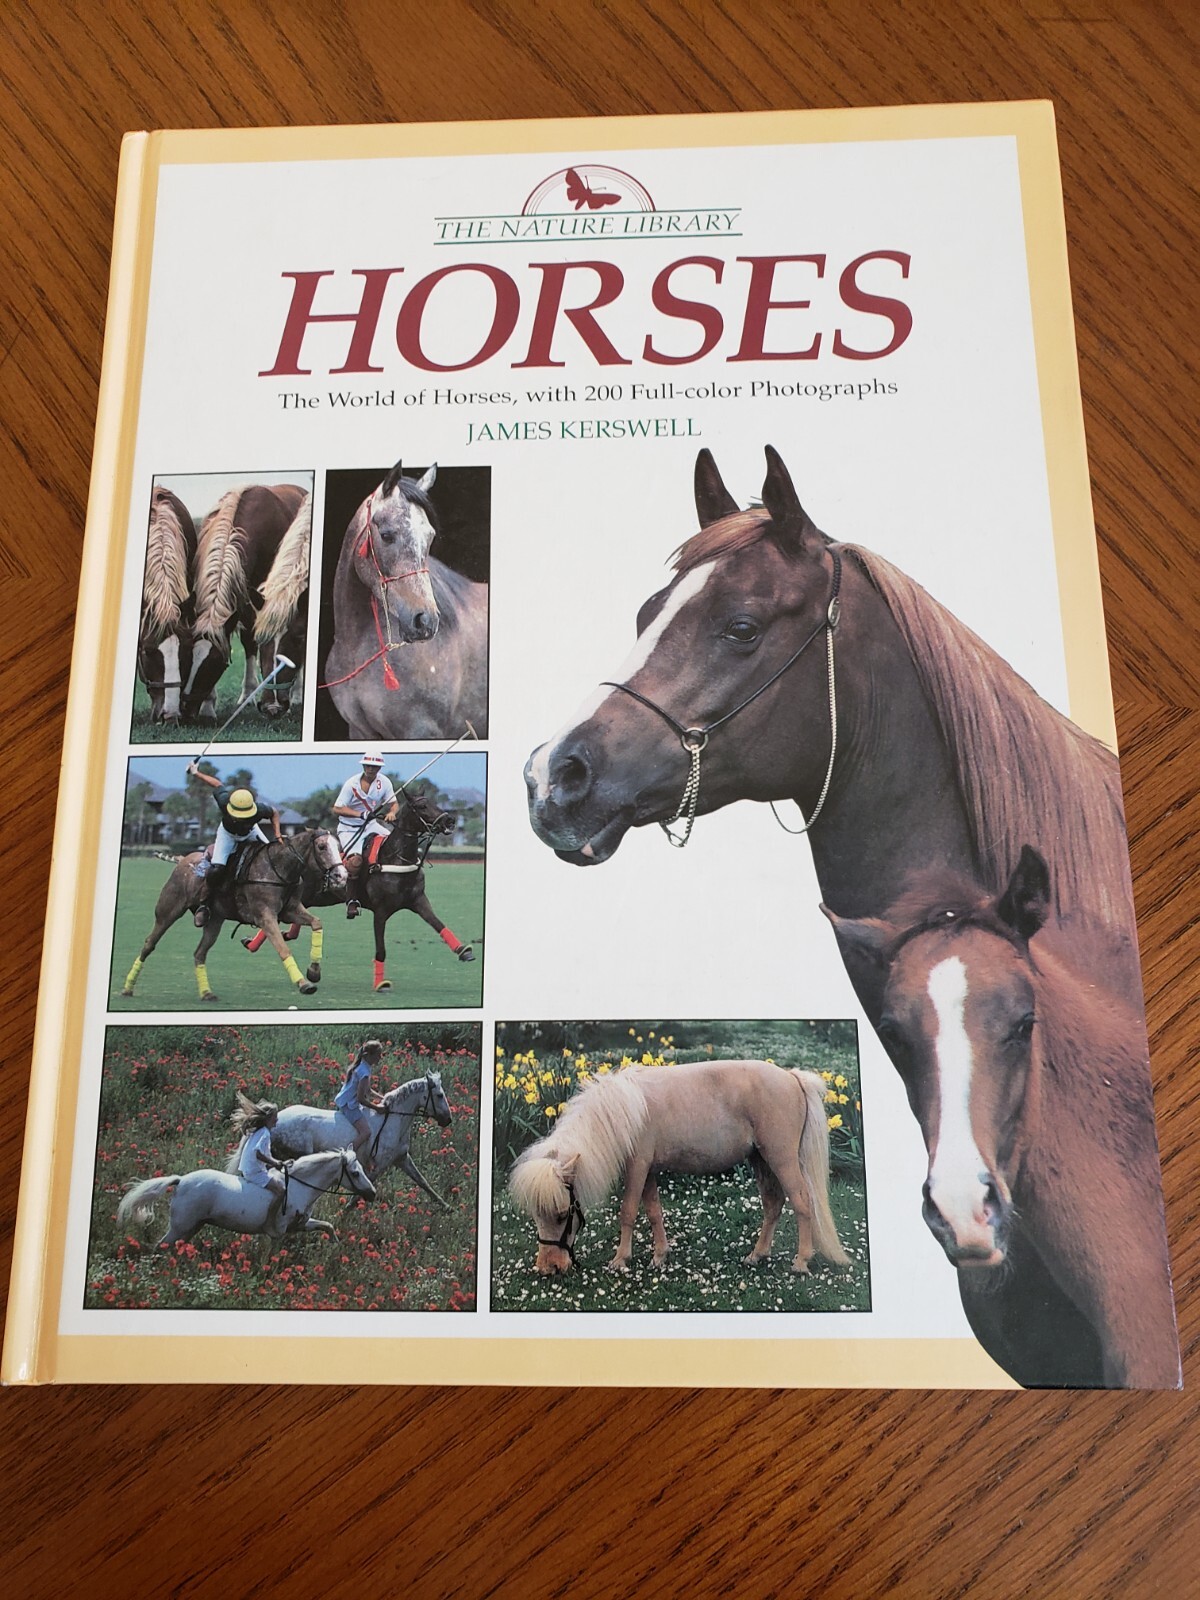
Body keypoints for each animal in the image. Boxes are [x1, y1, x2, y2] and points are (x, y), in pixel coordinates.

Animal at [117, 1148, 376, 1244]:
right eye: (355, 1172)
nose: (372, 1193)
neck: (300, 1187)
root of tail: (180, 1180)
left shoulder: (300, 1225)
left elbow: (327, 1226)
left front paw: (335, 1245)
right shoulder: (278, 1232)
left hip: (193, 1226)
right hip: (181, 1227)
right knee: (160, 1247)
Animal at [119, 829, 347, 1003]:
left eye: (339, 847)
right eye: (322, 847)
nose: (341, 876)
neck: (278, 869)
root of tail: (183, 859)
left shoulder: (290, 910)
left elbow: (317, 923)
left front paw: (314, 971)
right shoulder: (265, 916)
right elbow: (283, 948)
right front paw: (303, 983)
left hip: (214, 920)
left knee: (199, 953)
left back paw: (207, 993)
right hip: (168, 911)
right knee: (149, 943)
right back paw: (128, 988)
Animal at [240, 790, 475, 991]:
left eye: (435, 803)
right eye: (422, 806)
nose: (450, 820)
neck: (395, 857)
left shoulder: (418, 900)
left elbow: (438, 924)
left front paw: (464, 951)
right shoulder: (381, 911)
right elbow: (381, 949)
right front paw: (380, 984)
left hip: (310, 898)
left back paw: (275, 937)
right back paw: (253, 943)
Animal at [272, 1072, 454, 1206]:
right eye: (439, 1095)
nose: (448, 1120)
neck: (393, 1122)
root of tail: (275, 1122)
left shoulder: (402, 1158)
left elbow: (423, 1182)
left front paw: (447, 1207)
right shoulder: (377, 1166)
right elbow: (357, 1195)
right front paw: (343, 1213)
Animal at [509, 1059, 848, 1277]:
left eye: (562, 1215)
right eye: (537, 1215)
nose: (549, 1268)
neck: (622, 1110)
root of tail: (792, 1077)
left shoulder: (637, 1167)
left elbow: (628, 1211)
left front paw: (620, 1260)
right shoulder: (647, 1170)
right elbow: (653, 1212)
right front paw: (660, 1256)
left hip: (782, 1159)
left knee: (802, 1202)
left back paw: (801, 1262)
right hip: (761, 1160)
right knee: (773, 1204)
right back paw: (756, 1255)